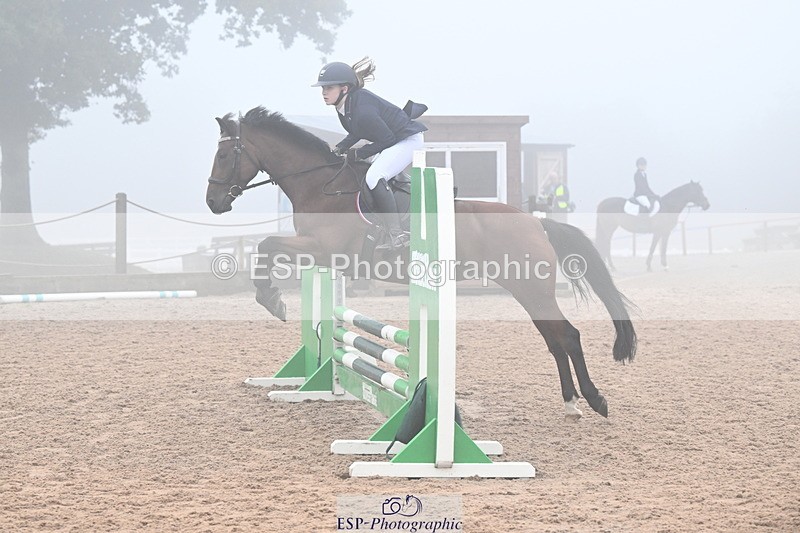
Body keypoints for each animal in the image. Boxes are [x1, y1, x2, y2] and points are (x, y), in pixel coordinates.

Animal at [205, 107, 637, 419]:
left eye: (224, 154)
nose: (212, 203)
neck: (321, 186)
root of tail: (536, 222)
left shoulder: (323, 250)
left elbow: (266, 246)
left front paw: (272, 299)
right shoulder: (320, 254)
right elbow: (267, 248)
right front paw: (273, 299)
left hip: (532, 289)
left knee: (568, 336)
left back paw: (594, 400)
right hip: (526, 291)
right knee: (555, 340)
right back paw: (571, 403)